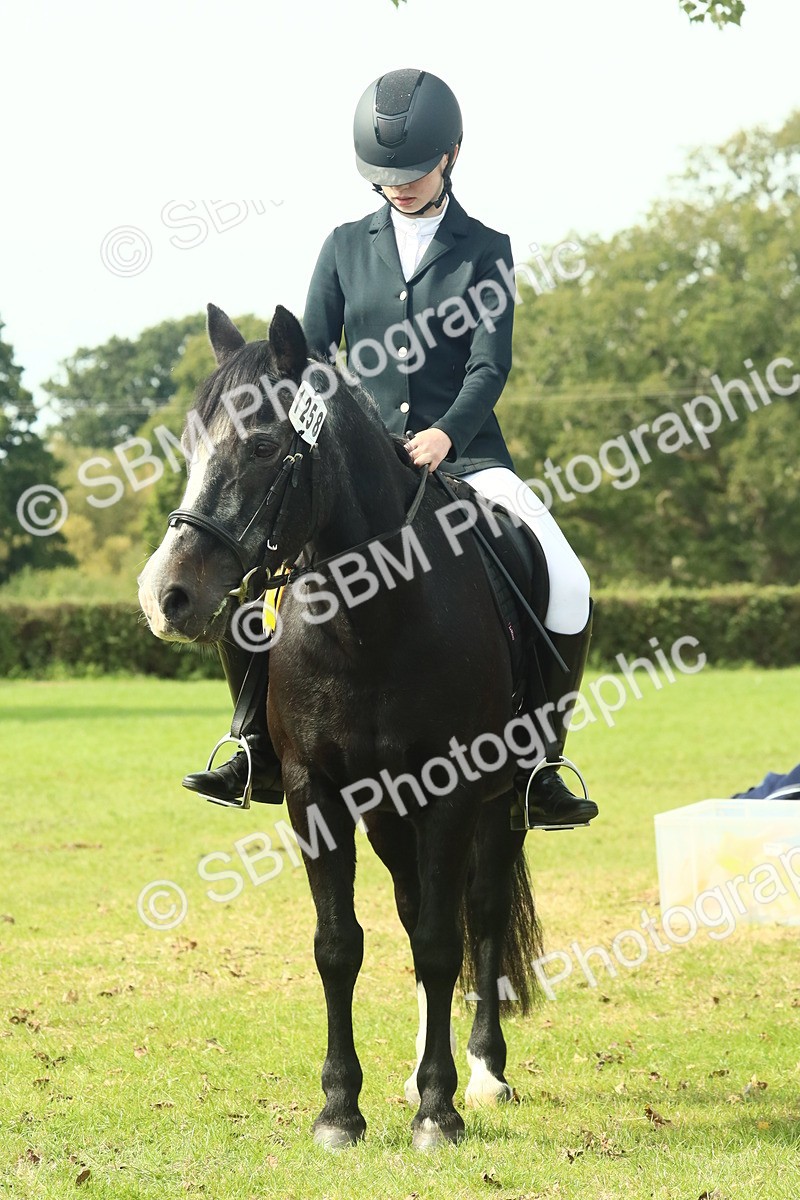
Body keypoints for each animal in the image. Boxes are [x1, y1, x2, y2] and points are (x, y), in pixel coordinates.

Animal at [138, 303, 548, 1150]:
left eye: (264, 445)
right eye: (191, 447)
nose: (167, 596)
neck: (371, 618)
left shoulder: (456, 789)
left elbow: (443, 939)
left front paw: (440, 1111)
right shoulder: (314, 791)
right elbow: (340, 944)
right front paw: (340, 1109)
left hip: (503, 805)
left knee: (481, 913)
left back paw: (483, 1074)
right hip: (389, 811)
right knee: (416, 908)